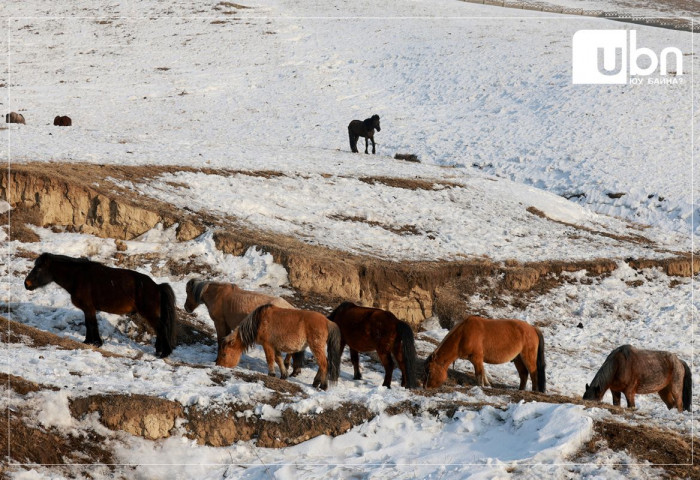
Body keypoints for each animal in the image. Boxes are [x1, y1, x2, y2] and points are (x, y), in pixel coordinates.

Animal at [24, 253, 178, 358]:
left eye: (39, 269)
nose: (27, 284)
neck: (78, 277)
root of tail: (157, 287)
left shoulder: (89, 308)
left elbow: (91, 324)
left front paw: (95, 342)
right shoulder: (87, 310)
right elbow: (89, 324)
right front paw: (89, 341)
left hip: (149, 313)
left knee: (161, 329)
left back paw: (164, 353)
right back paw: (159, 351)